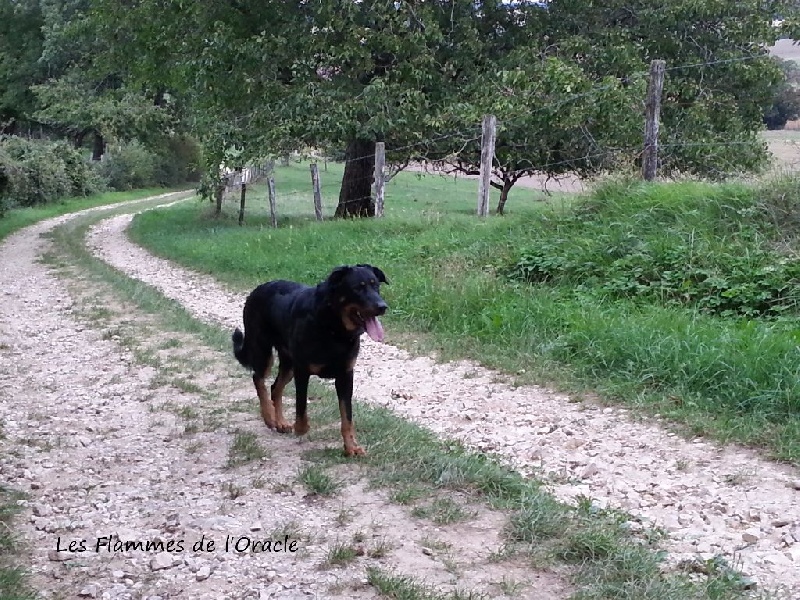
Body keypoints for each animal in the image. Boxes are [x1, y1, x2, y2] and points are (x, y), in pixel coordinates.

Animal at [231, 264, 388, 458]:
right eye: (357, 288)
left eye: (376, 286)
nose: (382, 306)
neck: (334, 329)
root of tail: (256, 290)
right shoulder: (302, 370)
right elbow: (301, 406)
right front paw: (301, 428)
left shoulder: (345, 376)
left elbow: (347, 418)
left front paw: (351, 447)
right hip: (263, 349)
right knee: (258, 378)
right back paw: (269, 417)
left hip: (288, 362)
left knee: (275, 387)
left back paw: (280, 421)